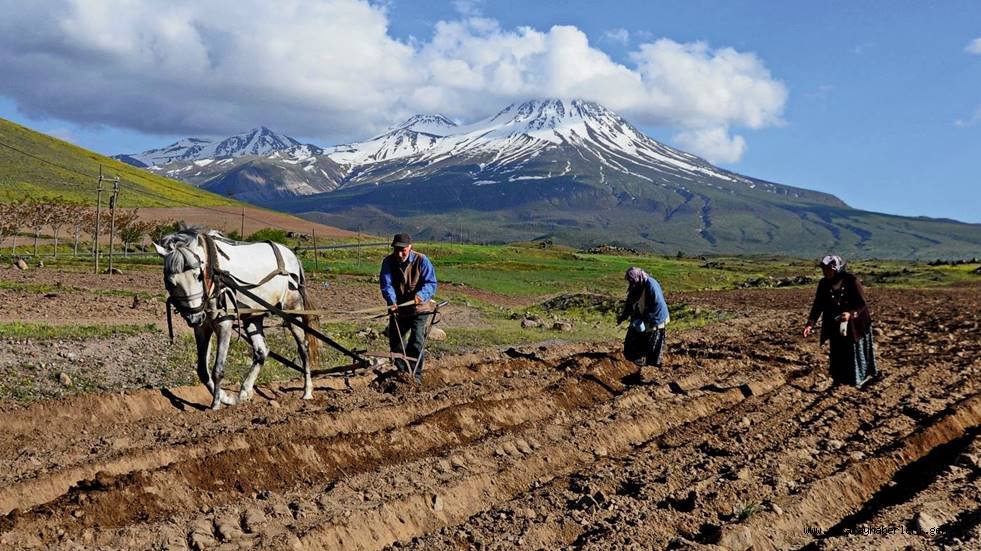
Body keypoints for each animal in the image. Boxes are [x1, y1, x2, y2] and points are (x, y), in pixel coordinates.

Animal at [153, 229, 320, 410]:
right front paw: (227, 398)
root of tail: (291, 255)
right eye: (170, 281)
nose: (195, 317)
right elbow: (203, 371)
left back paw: (307, 391)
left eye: (198, 276)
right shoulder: (202, 328)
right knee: (261, 352)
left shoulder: (224, 323)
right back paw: (245, 392)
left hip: (292, 311)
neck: (214, 276)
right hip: (253, 317)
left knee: (303, 349)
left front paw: (216, 405)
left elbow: (218, 370)